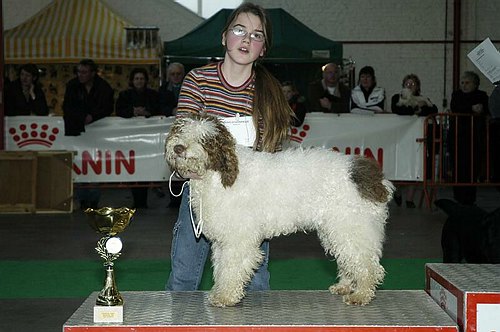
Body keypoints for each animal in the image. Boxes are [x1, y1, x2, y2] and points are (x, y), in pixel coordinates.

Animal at [164, 113, 394, 308]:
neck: (218, 175)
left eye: (204, 139)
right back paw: (345, 286)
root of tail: (372, 178)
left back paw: (361, 294)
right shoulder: (223, 241)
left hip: (352, 227)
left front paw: (226, 296)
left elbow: (231, 269)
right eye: (180, 131)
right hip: (336, 230)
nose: (178, 148)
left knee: (367, 264)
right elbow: (221, 268)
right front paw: (219, 292)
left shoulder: (238, 240)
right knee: (350, 260)